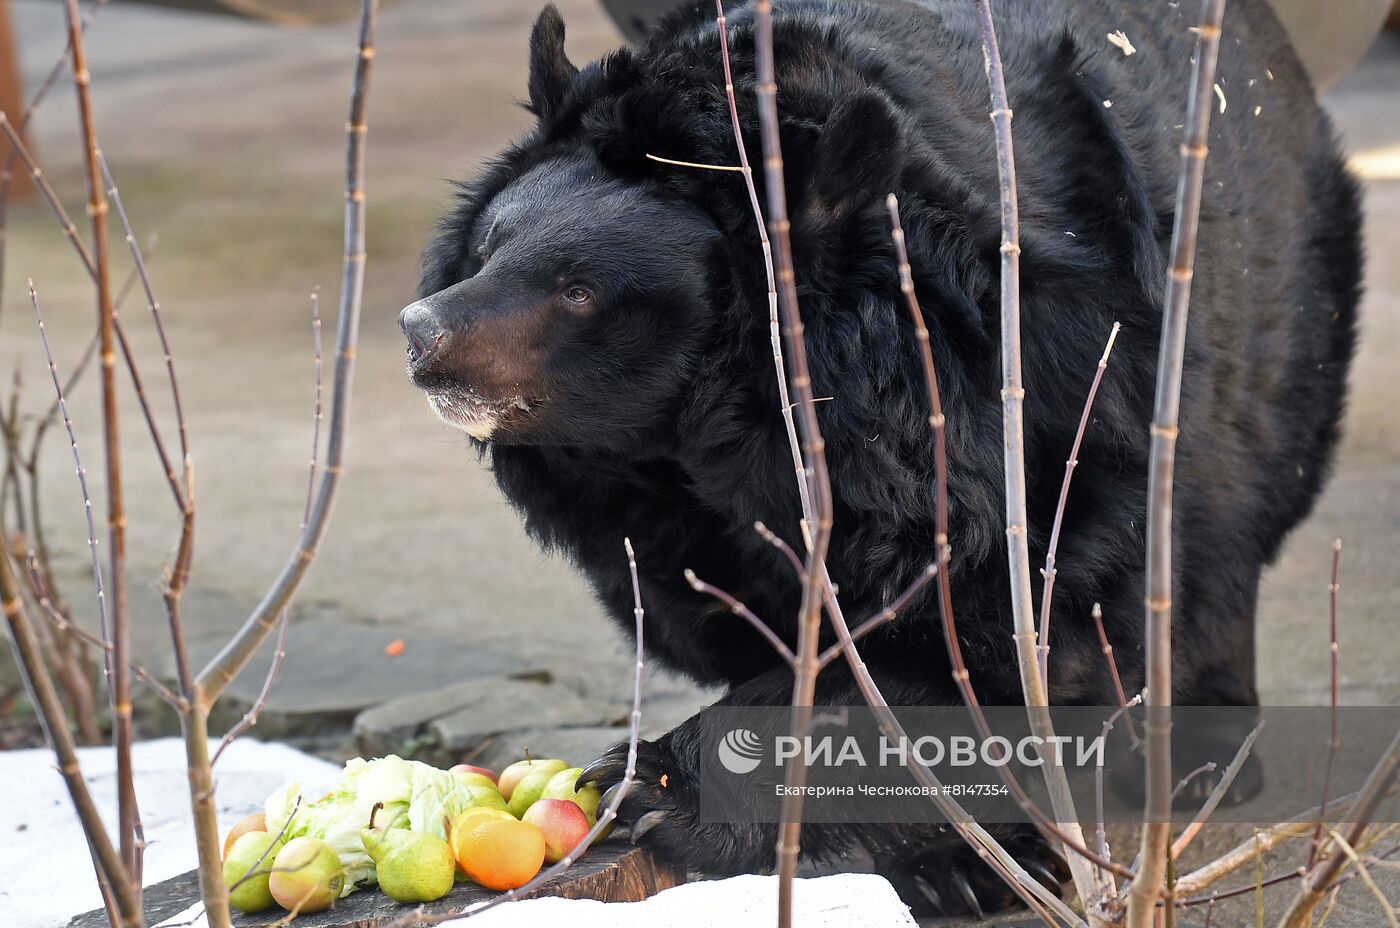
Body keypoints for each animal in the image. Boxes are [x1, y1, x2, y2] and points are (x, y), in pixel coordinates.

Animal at [400, 0, 1360, 912]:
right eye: (486, 249)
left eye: (579, 291)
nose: (422, 333)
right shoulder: (681, 530)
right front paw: (954, 869)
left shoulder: (1042, 409)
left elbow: (991, 633)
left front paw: (653, 789)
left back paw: (1197, 762)